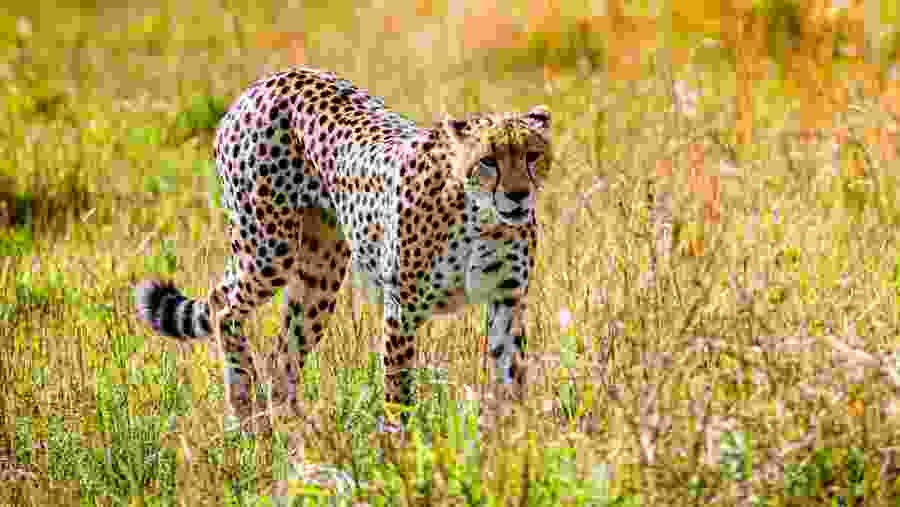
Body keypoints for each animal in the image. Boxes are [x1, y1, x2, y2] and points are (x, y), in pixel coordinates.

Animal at [134, 66, 551, 434]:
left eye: (532, 156)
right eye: (488, 161)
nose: (518, 194)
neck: (481, 218)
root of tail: (269, 80)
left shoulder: (507, 299)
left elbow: (512, 377)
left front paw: (515, 443)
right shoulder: (402, 311)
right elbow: (398, 392)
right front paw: (399, 452)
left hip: (320, 272)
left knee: (283, 358)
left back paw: (296, 436)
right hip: (269, 247)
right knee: (222, 304)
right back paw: (247, 416)